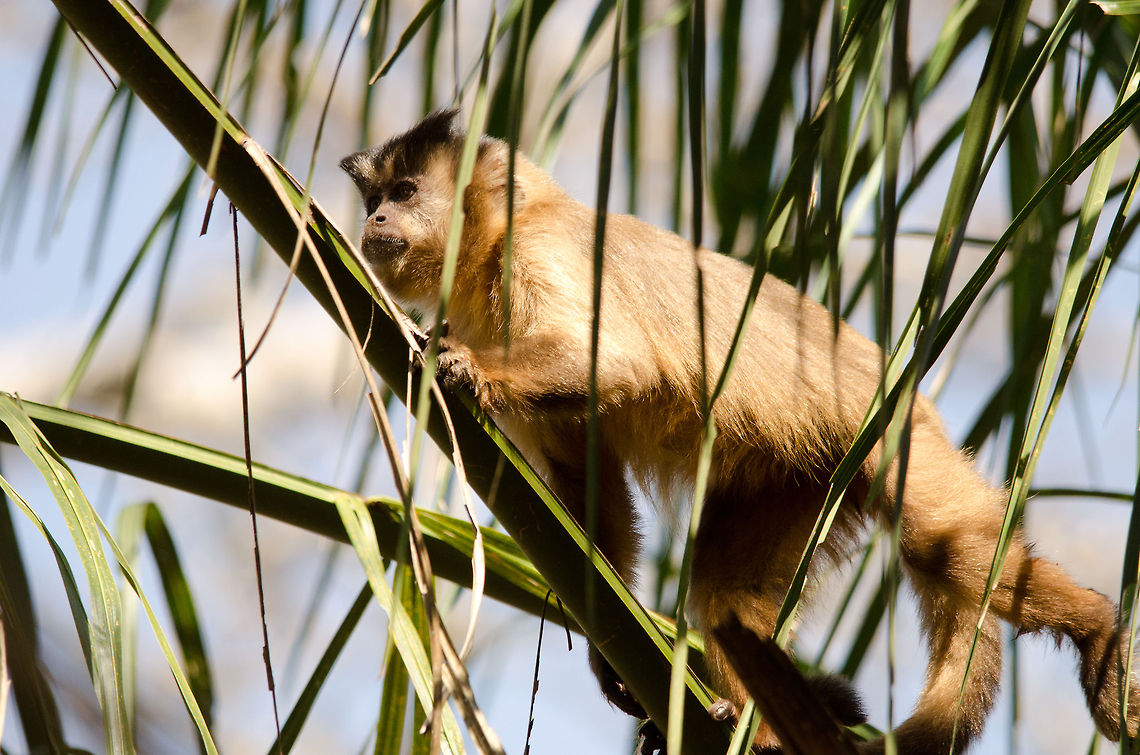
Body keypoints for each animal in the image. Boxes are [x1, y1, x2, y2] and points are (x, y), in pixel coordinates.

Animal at [341, 109, 1140, 753]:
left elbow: (611, 360)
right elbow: (588, 485)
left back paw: (1100, 629)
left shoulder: (539, 250)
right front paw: (610, 653)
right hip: (801, 477)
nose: (373, 222)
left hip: (893, 440)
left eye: (404, 193)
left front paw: (458, 364)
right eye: (376, 199)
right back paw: (755, 724)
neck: (495, 241)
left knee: (943, 547)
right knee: (725, 591)